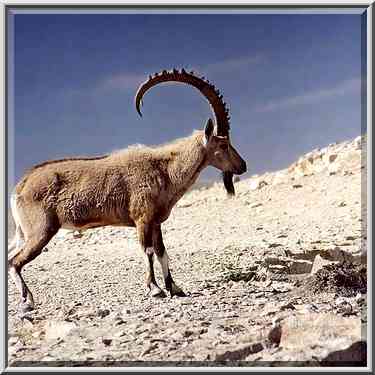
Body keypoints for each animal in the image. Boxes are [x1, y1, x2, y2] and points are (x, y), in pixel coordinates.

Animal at [8, 70, 247, 314]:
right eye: (223, 145)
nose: (243, 166)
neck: (165, 169)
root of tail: (20, 186)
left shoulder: (156, 222)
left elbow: (162, 251)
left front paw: (174, 288)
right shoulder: (142, 218)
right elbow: (148, 250)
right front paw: (155, 289)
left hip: (25, 233)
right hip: (40, 231)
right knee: (14, 262)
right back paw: (27, 300)